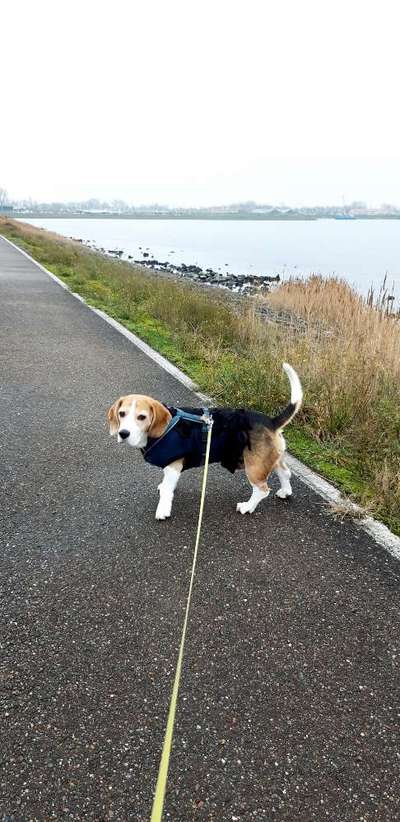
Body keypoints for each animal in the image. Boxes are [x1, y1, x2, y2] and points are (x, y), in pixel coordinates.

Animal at [108, 362, 302, 520]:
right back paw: (285, 492)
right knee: (285, 473)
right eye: (122, 414)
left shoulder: (173, 466)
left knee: (262, 490)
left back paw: (247, 507)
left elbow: (166, 491)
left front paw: (162, 510)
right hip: (270, 458)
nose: (123, 433)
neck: (166, 426)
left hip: (254, 466)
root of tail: (271, 422)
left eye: (142, 417)